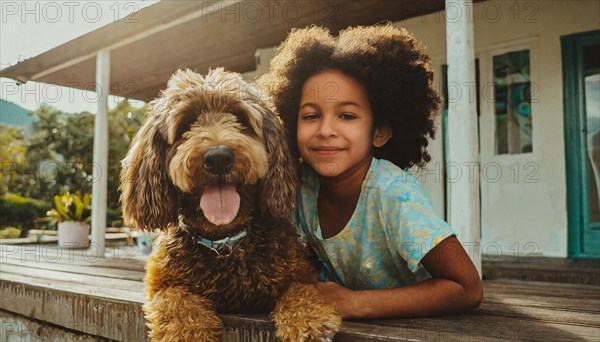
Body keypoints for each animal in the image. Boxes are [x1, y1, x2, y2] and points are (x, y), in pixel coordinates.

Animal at [119, 68, 342, 340]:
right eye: (186, 124)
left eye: (240, 118)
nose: (218, 158)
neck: (225, 241)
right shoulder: (164, 283)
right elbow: (176, 303)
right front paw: (189, 332)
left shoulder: (299, 272)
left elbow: (301, 291)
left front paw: (309, 322)